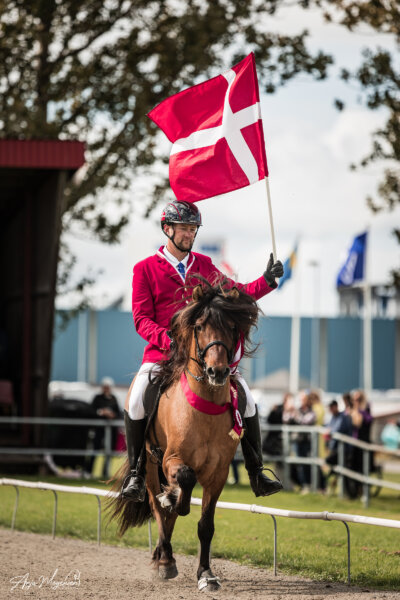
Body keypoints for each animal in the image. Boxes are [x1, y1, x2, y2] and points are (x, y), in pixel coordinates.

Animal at [108, 278, 260, 592]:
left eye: (232, 327)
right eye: (199, 327)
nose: (217, 371)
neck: (206, 408)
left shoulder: (218, 473)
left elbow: (206, 525)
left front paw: (206, 574)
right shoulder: (172, 460)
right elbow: (184, 483)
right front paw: (174, 499)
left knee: (170, 515)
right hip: (150, 468)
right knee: (158, 508)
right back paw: (165, 558)